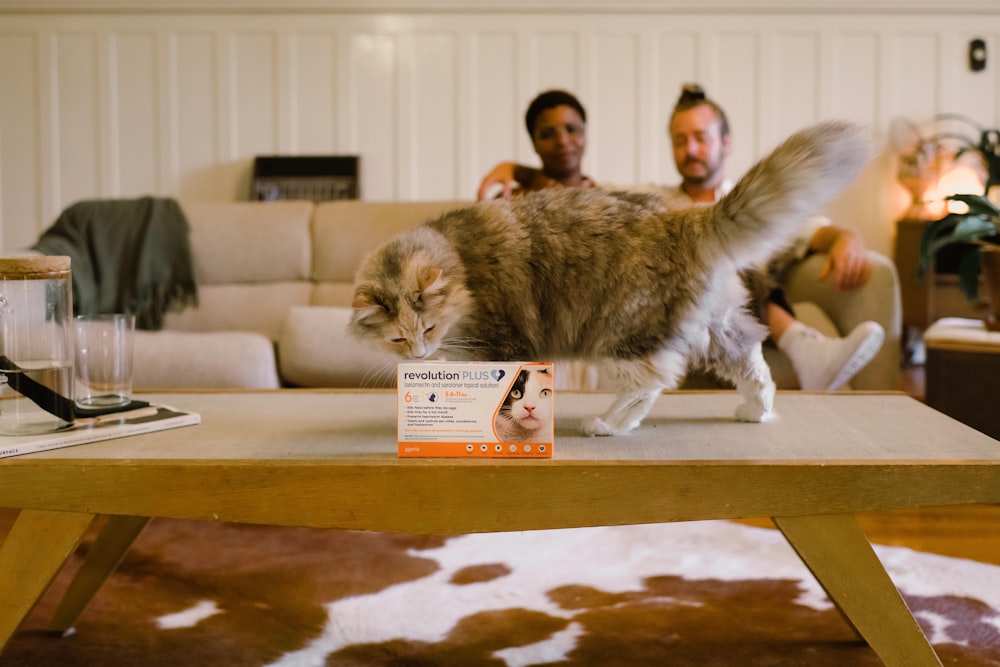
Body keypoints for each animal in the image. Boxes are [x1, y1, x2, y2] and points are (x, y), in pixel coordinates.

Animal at [348, 120, 872, 436]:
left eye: (429, 328)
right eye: (398, 340)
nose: (419, 354)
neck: (462, 267)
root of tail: (680, 216)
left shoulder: (499, 343)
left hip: (620, 332)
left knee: (655, 383)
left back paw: (607, 425)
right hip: (715, 326)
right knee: (753, 364)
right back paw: (755, 412)